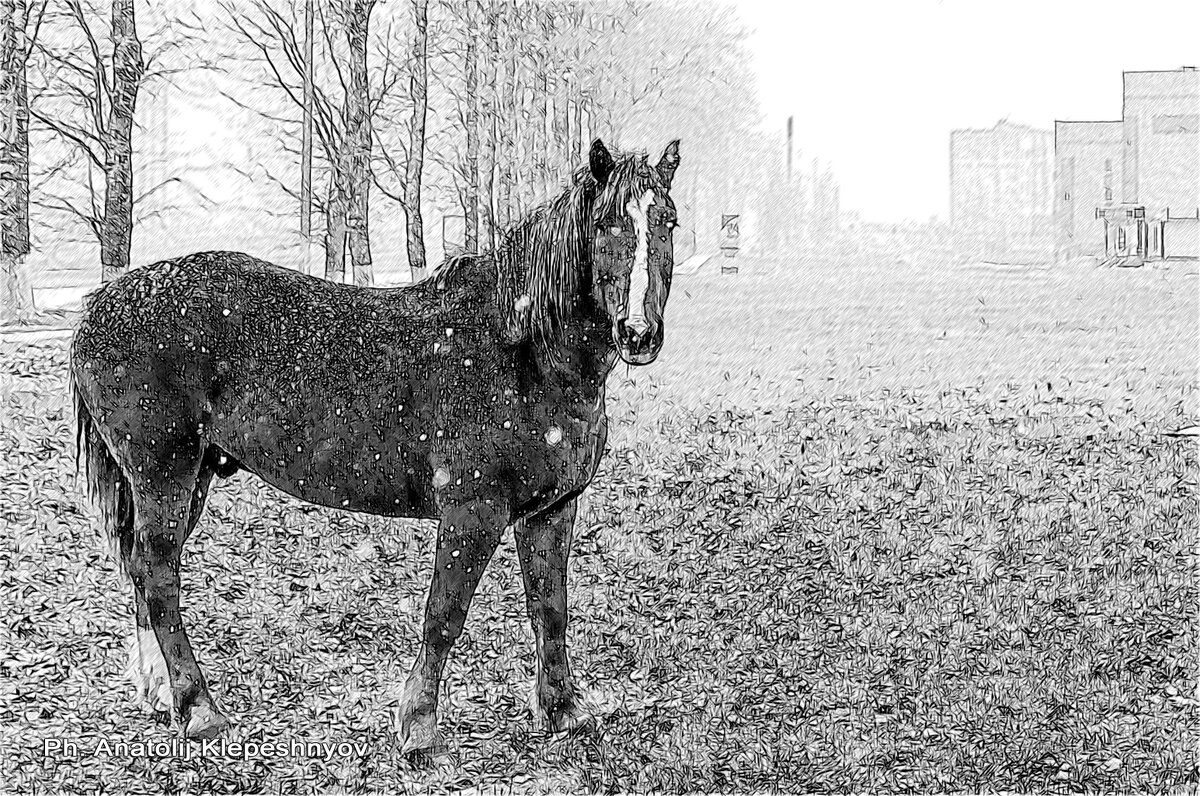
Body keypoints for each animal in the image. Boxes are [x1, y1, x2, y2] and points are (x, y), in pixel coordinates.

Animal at [70, 139, 681, 758]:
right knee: (159, 576)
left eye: (666, 221)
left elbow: (550, 610)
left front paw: (563, 712)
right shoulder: (473, 512)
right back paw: (199, 709)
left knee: (143, 569)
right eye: (606, 226)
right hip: (164, 474)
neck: (523, 352)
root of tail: (102, 303)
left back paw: (159, 693)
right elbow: (444, 615)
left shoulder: (551, 511)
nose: (640, 333)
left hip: (188, 478)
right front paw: (419, 727)